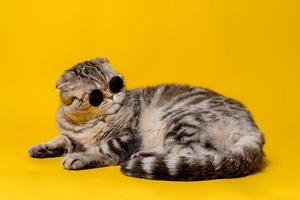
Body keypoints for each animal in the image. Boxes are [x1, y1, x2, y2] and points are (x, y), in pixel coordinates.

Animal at [28, 57, 264, 181]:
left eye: (115, 83)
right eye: (95, 96)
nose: (111, 96)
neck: (89, 125)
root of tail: (253, 128)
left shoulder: (127, 136)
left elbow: (103, 150)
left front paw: (81, 157)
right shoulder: (72, 135)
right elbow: (62, 139)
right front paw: (42, 148)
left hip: (179, 120)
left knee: (192, 154)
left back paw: (144, 155)